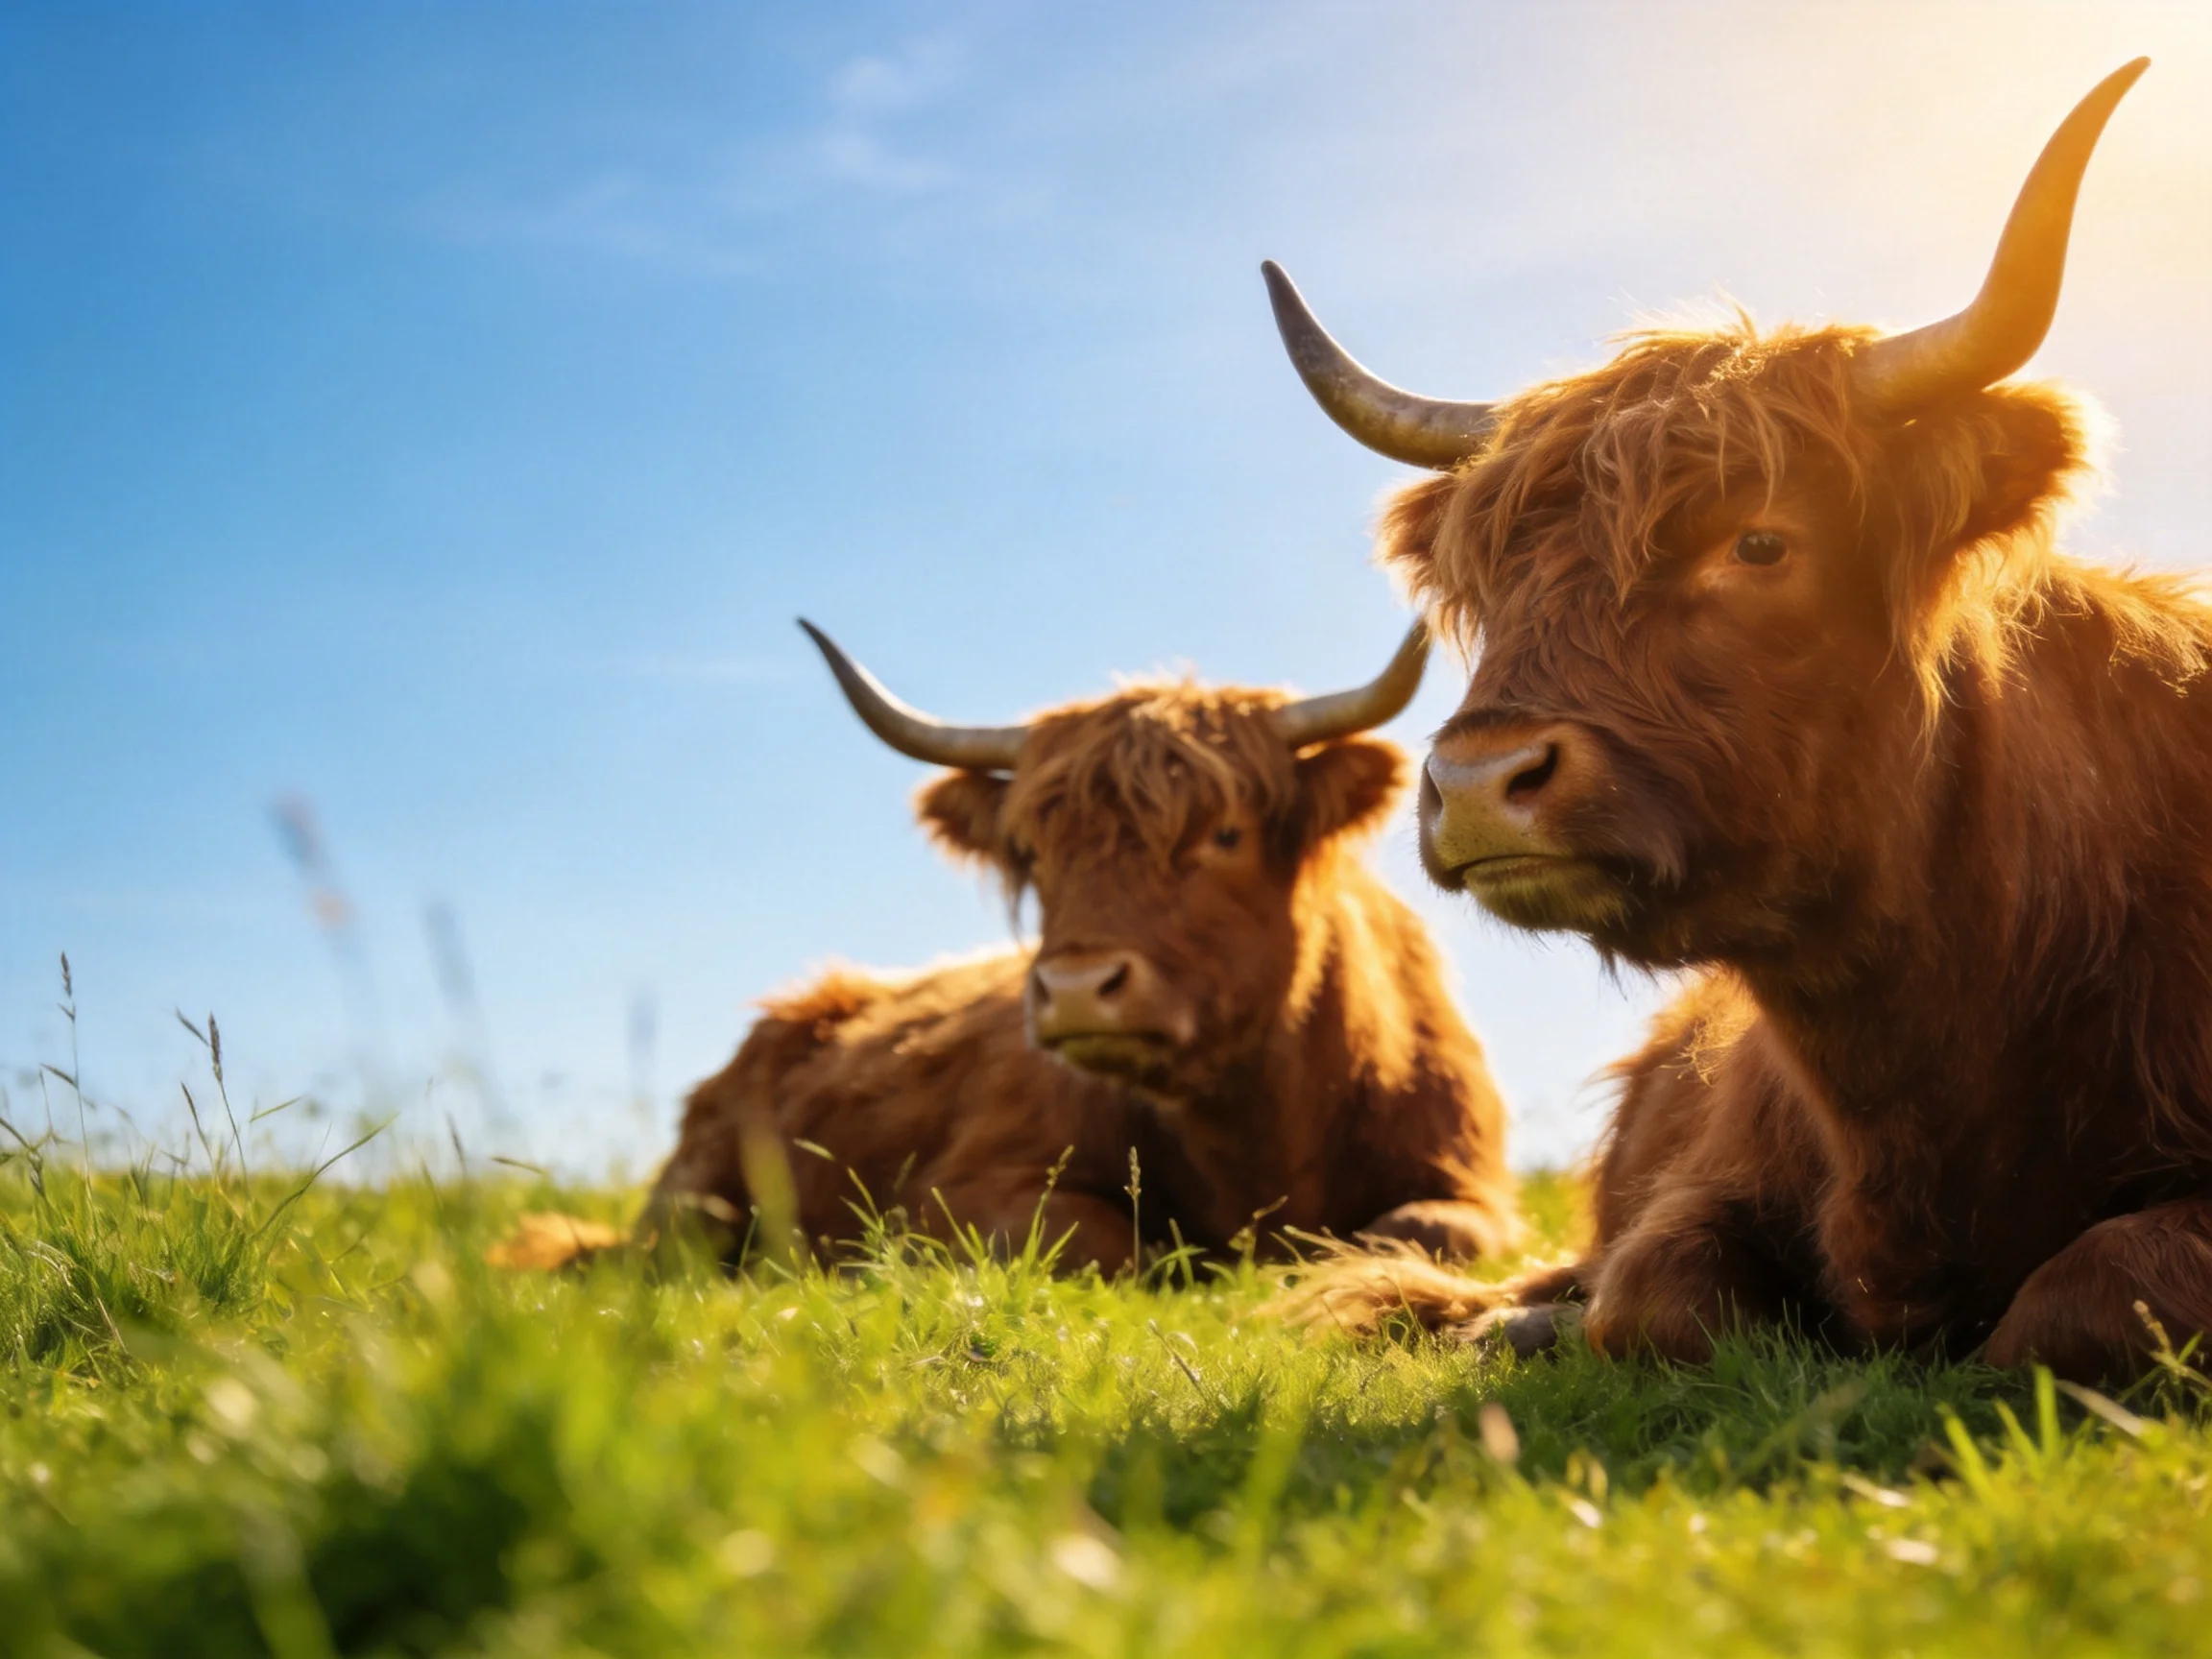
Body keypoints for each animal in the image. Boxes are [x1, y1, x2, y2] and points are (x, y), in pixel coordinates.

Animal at [624, 619, 1521, 1275]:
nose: (1081, 986)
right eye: (1031, 852)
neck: (1256, 1136)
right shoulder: (959, 1190)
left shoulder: (1476, 1187)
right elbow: (1112, 1243)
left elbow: (1420, 1232)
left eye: (1226, 833)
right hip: (690, 1199)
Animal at [1266, 61, 2212, 1382]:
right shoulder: (1704, 1191)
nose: (1479, 782)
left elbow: (2087, 1293)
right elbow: (1656, 1296)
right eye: (1490, 581)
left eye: (1760, 542)